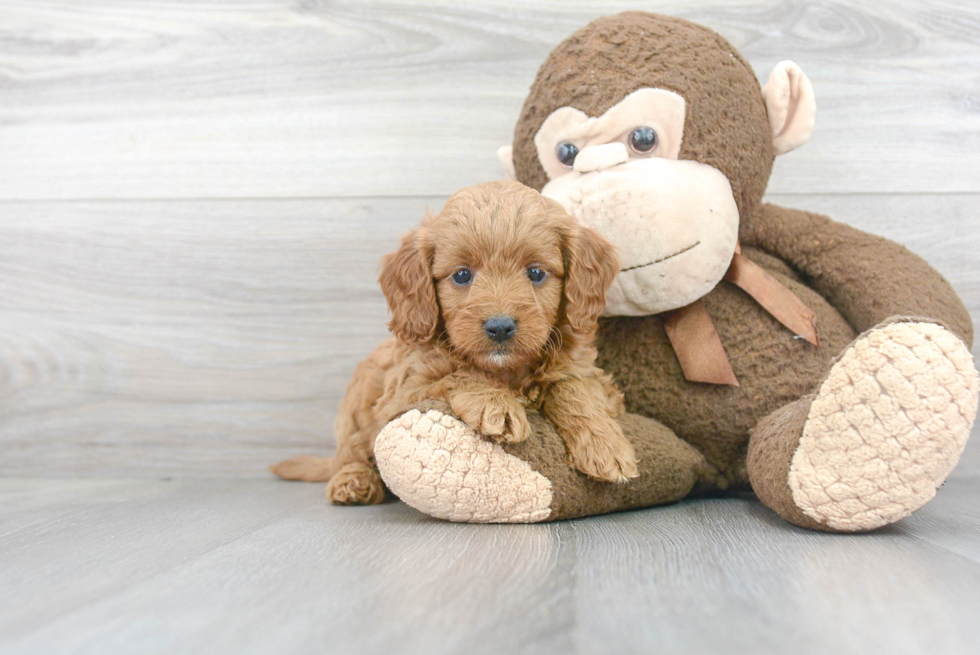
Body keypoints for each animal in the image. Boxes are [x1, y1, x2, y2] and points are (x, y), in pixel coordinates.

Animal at [272, 182, 640, 504]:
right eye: (462, 275)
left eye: (536, 273)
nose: (500, 327)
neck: (507, 371)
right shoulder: (404, 389)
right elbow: (457, 373)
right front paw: (496, 404)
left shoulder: (589, 374)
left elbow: (575, 388)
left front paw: (605, 445)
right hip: (356, 408)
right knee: (352, 452)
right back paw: (352, 483)